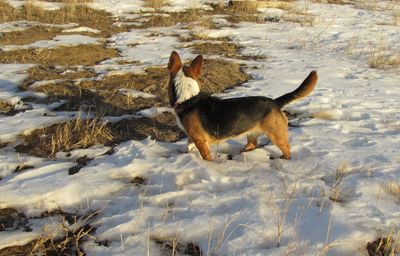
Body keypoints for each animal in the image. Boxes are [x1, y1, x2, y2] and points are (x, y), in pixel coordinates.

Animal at [167, 51, 318, 161]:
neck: (189, 98)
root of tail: (275, 102)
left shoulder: (200, 140)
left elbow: (203, 153)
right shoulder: (193, 136)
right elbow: (188, 142)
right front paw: (184, 150)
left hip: (276, 135)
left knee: (286, 148)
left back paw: (283, 159)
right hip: (252, 132)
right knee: (252, 144)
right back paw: (240, 153)